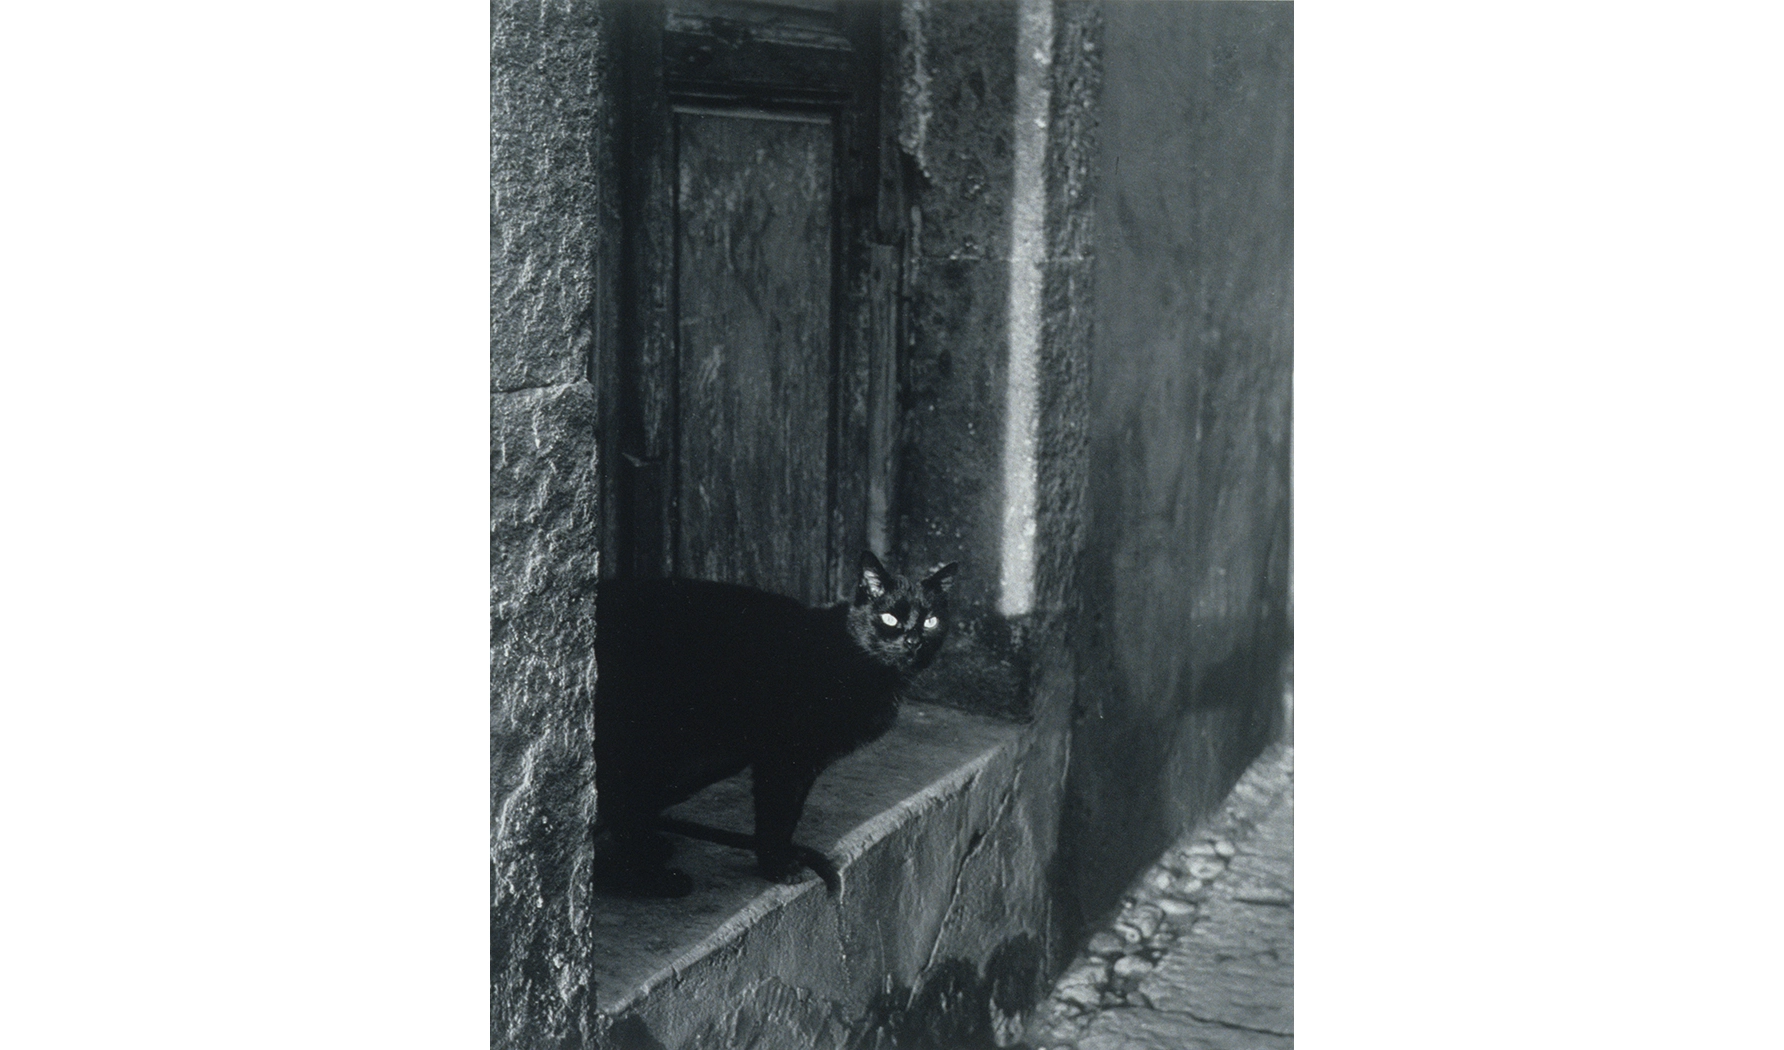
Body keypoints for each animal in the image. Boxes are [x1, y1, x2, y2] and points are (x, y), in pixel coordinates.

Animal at [592, 549, 956, 891]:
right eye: (890, 618)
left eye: (930, 621)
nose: (913, 641)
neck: (860, 661)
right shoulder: (784, 757)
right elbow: (776, 815)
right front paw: (778, 867)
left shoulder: (805, 762)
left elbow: (791, 815)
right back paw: (655, 881)